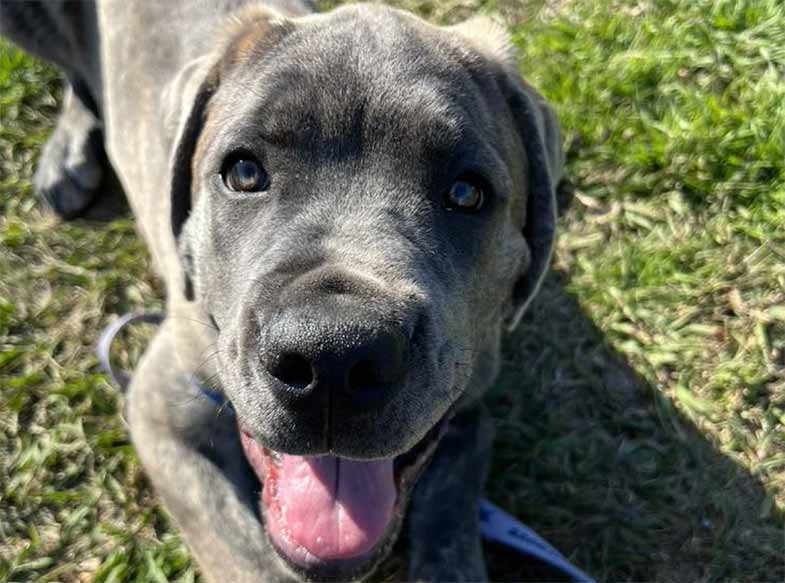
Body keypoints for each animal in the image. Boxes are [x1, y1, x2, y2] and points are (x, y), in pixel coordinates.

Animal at [1, 2, 564, 580]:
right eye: (244, 172)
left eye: (467, 193)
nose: (335, 356)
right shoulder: (161, 408)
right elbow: (244, 556)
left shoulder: (468, 409)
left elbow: (451, 510)